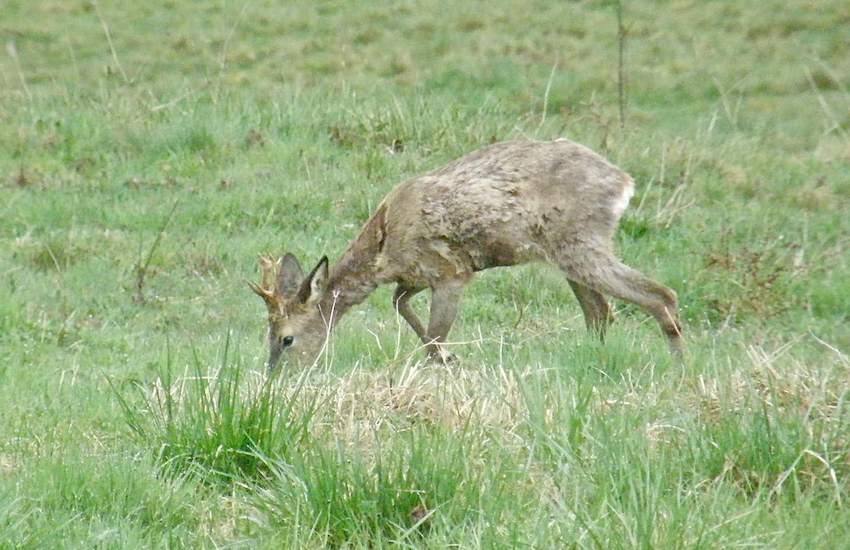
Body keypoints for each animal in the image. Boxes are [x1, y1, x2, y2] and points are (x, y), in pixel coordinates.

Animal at [247, 138, 684, 374]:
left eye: (286, 339)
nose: (275, 377)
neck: (385, 249)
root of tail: (623, 182)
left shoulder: (451, 271)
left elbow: (434, 332)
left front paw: (441, 362)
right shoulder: (415, 277)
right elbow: (401, 305)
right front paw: (447, 357)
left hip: (580, 242)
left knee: (660, 295)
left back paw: (680, 367)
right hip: (568, 254)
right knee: (601, 313)